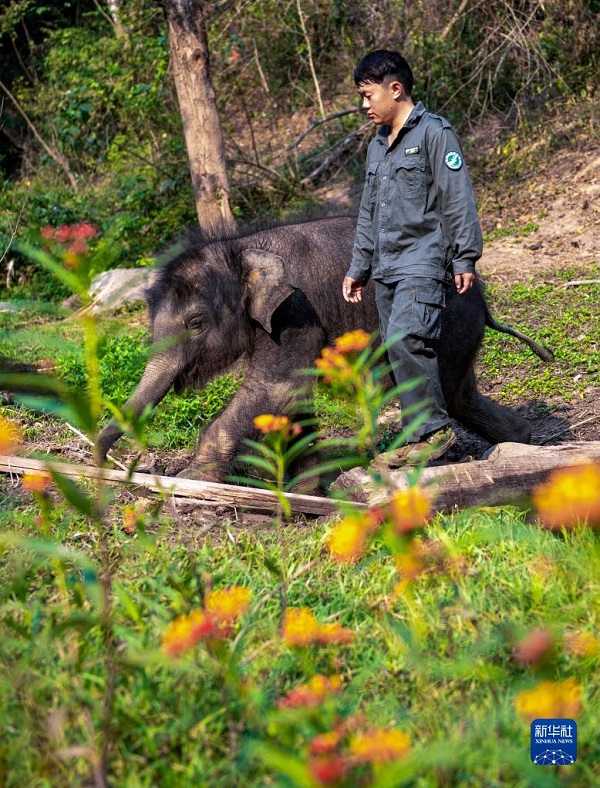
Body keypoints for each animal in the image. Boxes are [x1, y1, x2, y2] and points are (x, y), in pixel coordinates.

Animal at [96, 215, 552, 480]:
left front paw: (194, 482)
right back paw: (521, 444)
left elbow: (273, 386)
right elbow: (290, 394)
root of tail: (482, 295)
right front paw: (306, 483)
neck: (240, 248)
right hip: (460, 335)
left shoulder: (297, 310)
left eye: (195, 324)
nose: (103, 464)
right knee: (460, 395)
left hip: (447, 322)